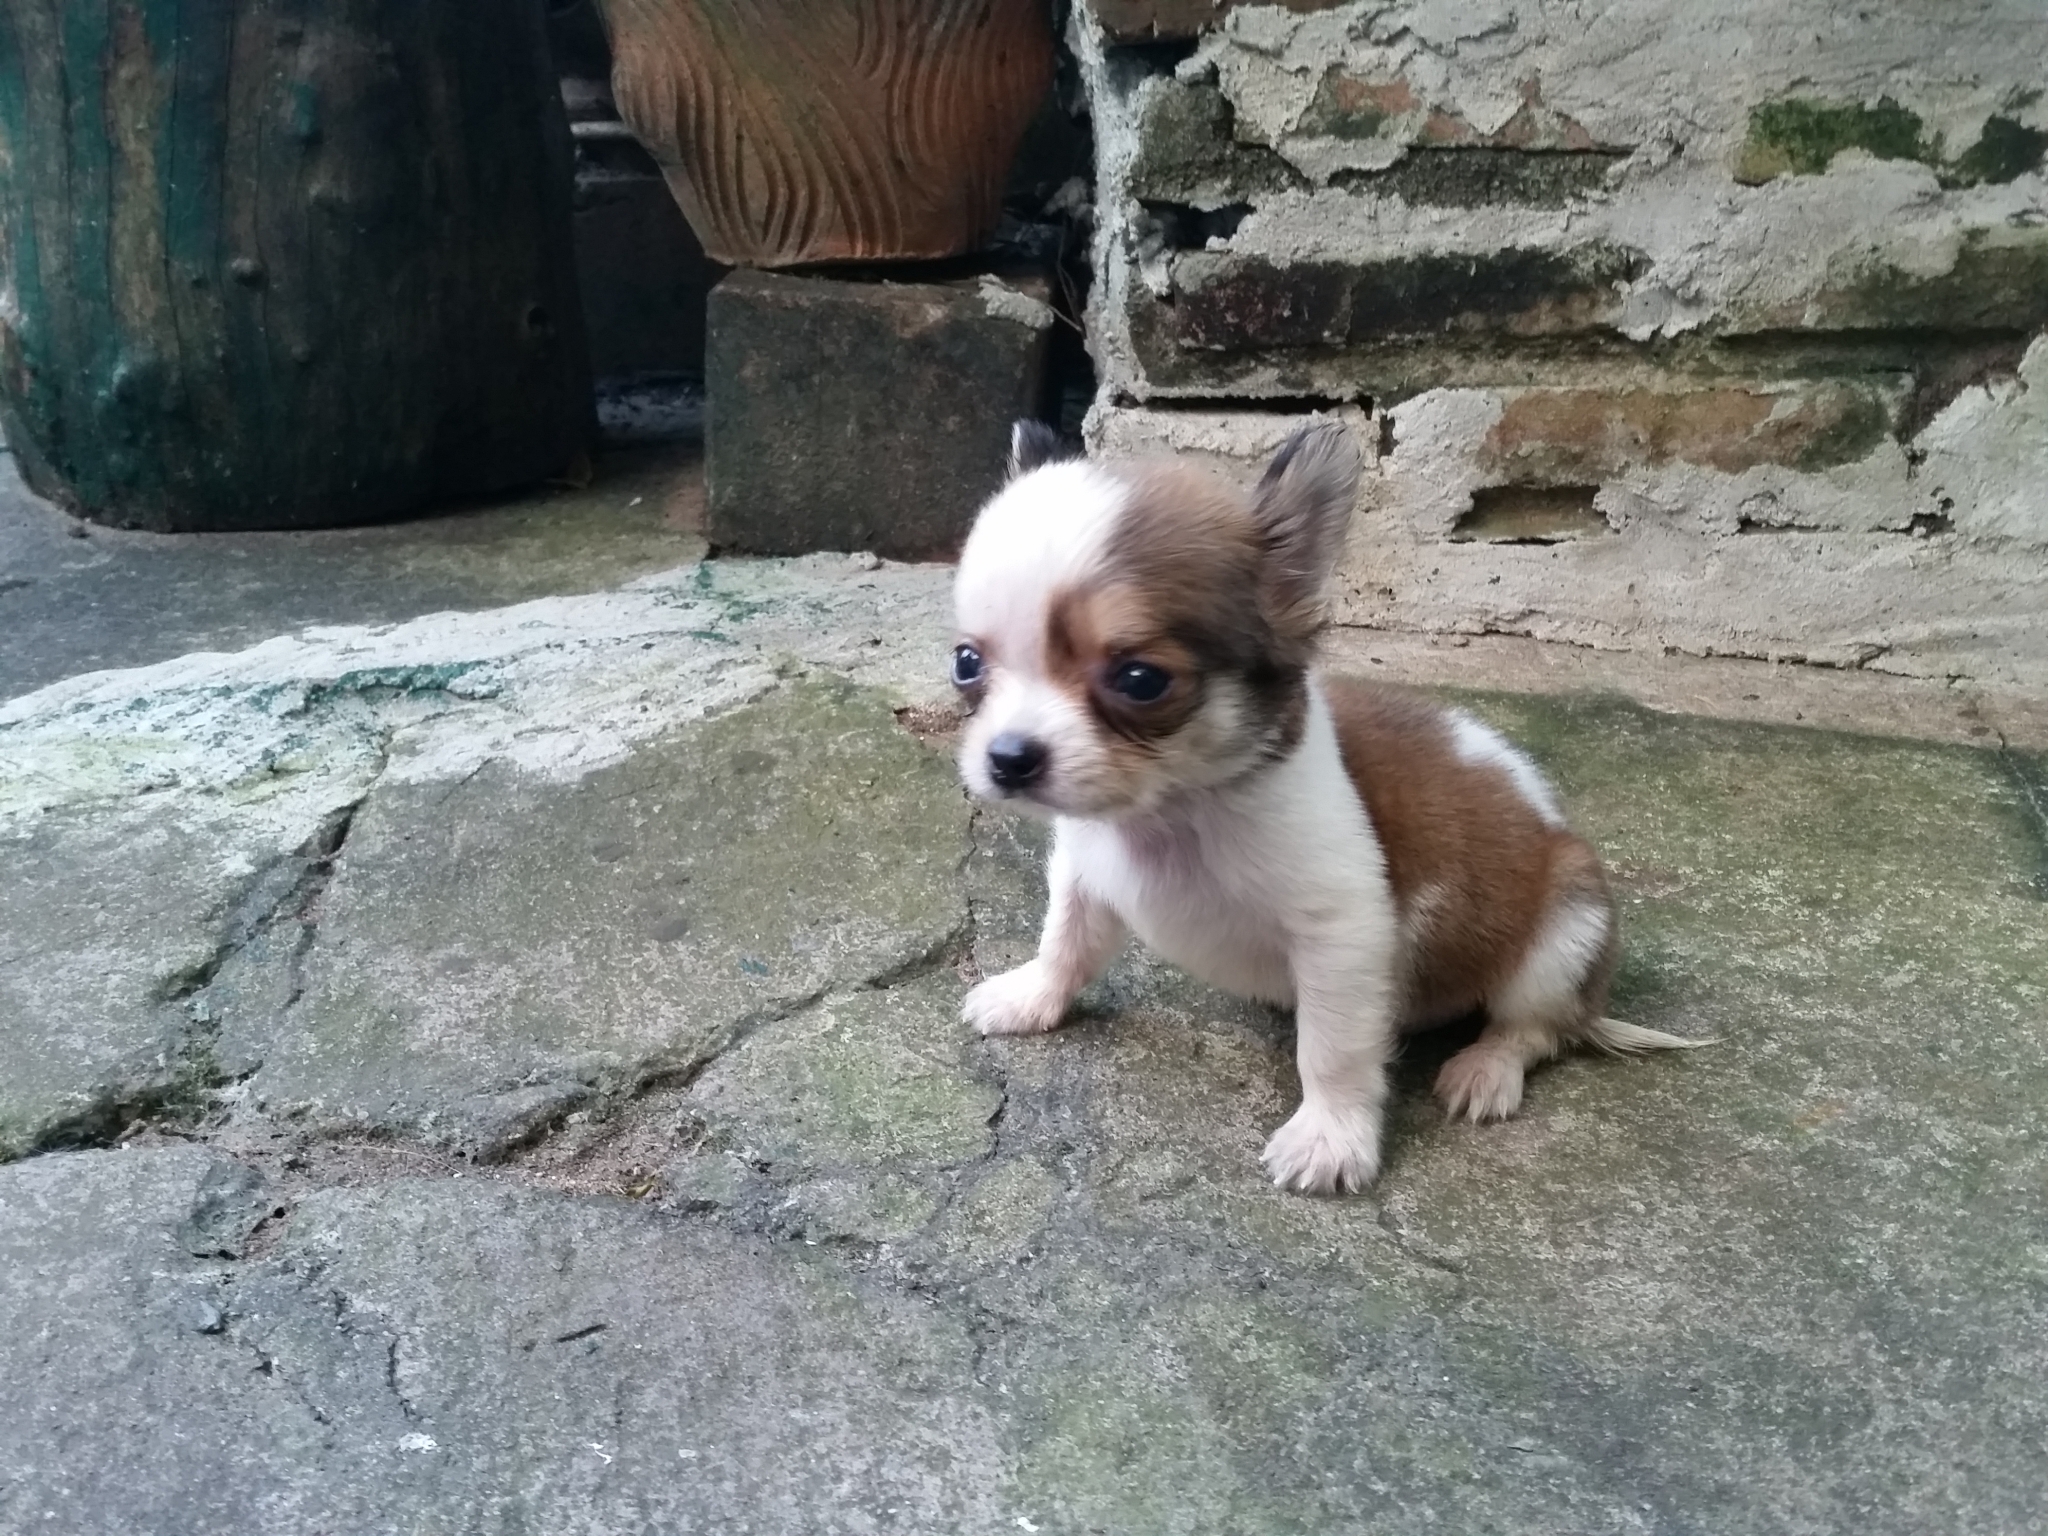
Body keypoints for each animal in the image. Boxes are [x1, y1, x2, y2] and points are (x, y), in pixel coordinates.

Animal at [948, 418, 1700, 1195]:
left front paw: (1331, 1136)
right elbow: (1064, 942)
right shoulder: (1084, 875)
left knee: (1537, 1027)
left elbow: (1333, 1048)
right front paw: (1031, 997)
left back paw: (1487, 1068)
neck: (1171, 813)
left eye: (1140, 679)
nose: (1008, 758)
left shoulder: (1342, 937)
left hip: (1565, 931)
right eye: (966, 663)